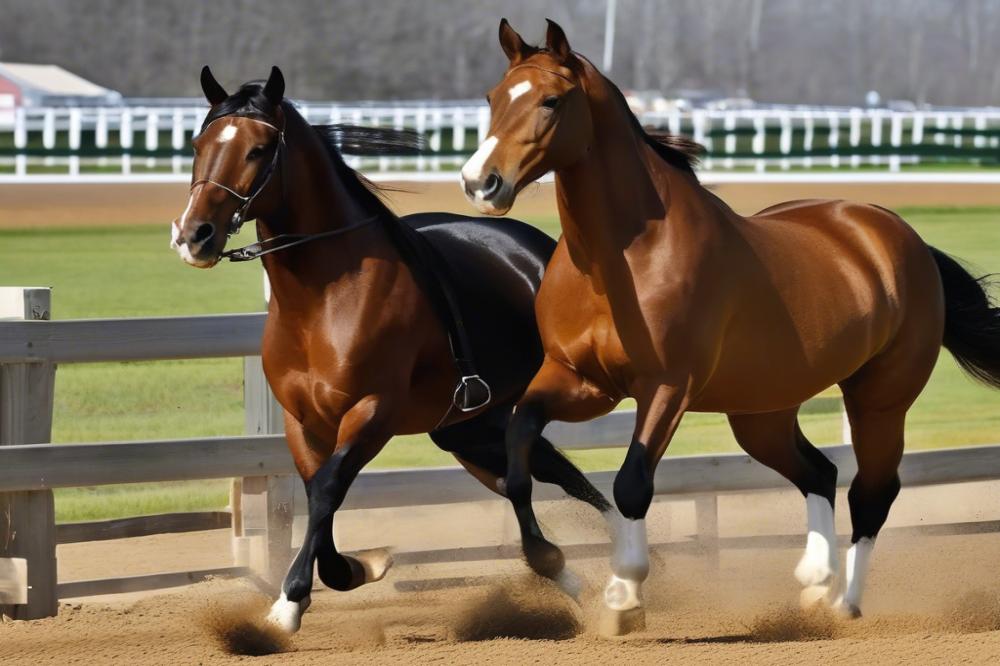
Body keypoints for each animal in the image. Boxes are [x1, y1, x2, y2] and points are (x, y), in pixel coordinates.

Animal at [170, 66, 608, 632]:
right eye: (199, 144)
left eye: (259, 149)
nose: (194, 235)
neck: (322, 298)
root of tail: (540, 248)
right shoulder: (302, 422)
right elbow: (317, 494)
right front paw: (350, 571)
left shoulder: (372, 412)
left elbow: (328, 490)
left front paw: (291, 601)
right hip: (468, 430)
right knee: (538, 476)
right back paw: (581, 574)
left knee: (539, 478)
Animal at [462, 19, 1000, 632]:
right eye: (493, 98)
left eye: (551, 101)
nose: (480, 183)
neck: (621, 257)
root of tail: (901, 239)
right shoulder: (581, 382)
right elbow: (519, 449)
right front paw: (554, 563)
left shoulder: (666, 387)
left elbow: (632, 483)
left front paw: (624, 596)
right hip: (761, 413)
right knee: (819, 472)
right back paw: (815, 584)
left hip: (879, 401)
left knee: (872, 493)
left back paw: (845, 604)